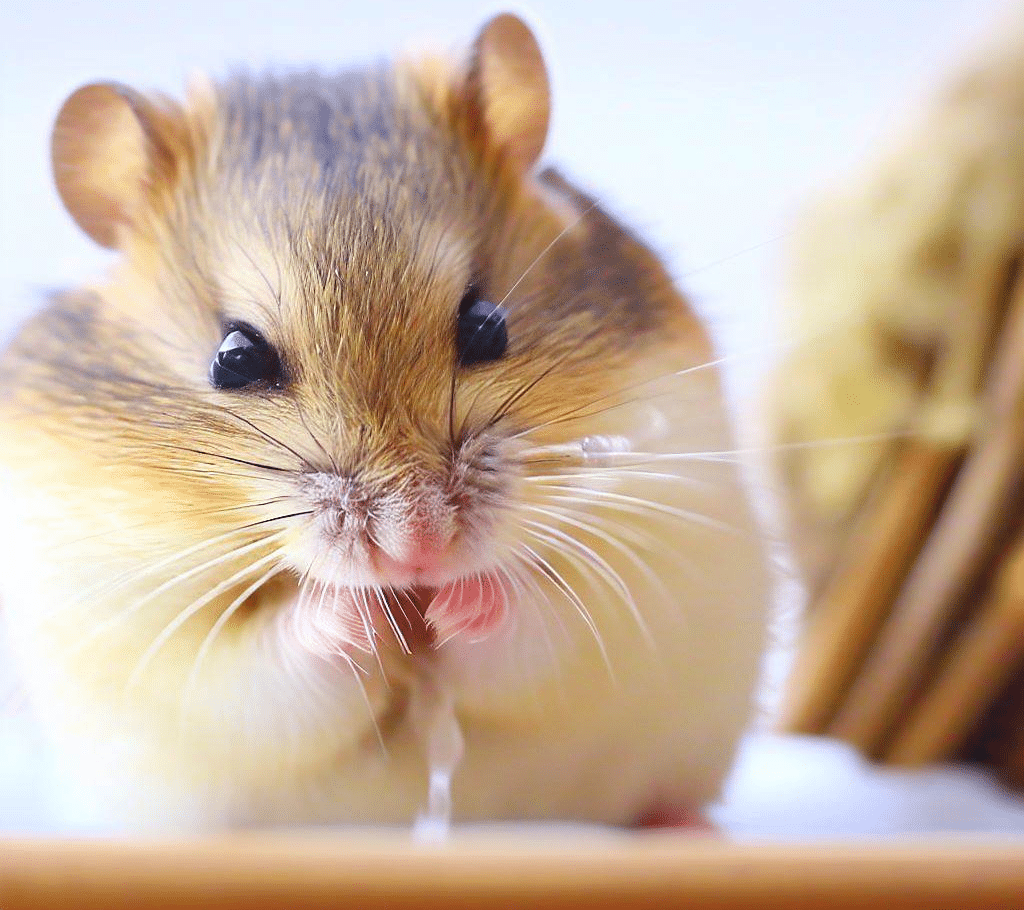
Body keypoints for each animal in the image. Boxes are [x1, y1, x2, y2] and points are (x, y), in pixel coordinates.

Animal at [0, 12, 770, 831]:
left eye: (488, 324)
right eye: (234, 358)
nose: (418, 551)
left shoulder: (651, 552)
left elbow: (538, 619)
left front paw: (457, 603)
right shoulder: (149, 634)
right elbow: (279, 656)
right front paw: (366, 618)